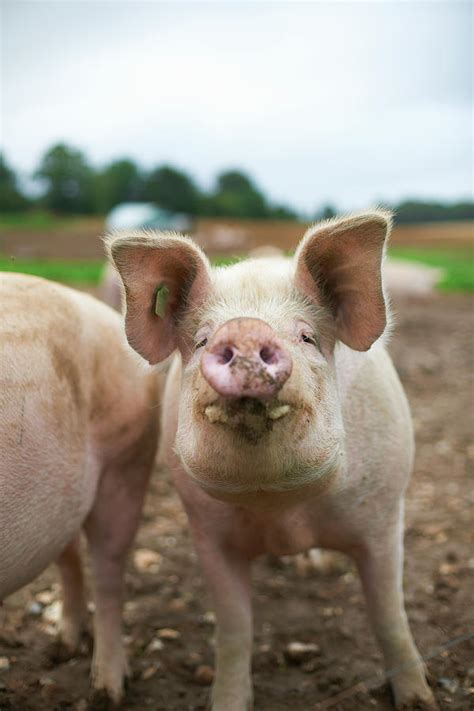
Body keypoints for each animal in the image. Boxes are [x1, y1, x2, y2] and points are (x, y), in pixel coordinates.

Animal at [109, 213, 436, 711]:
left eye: (306, 336)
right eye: (202, 340)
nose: (245, 329)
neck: (281, 508)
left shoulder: (384, 513)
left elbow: (388, 615)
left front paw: (420, 701)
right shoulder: (207, 533)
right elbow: (234, 628)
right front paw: (227, 702)